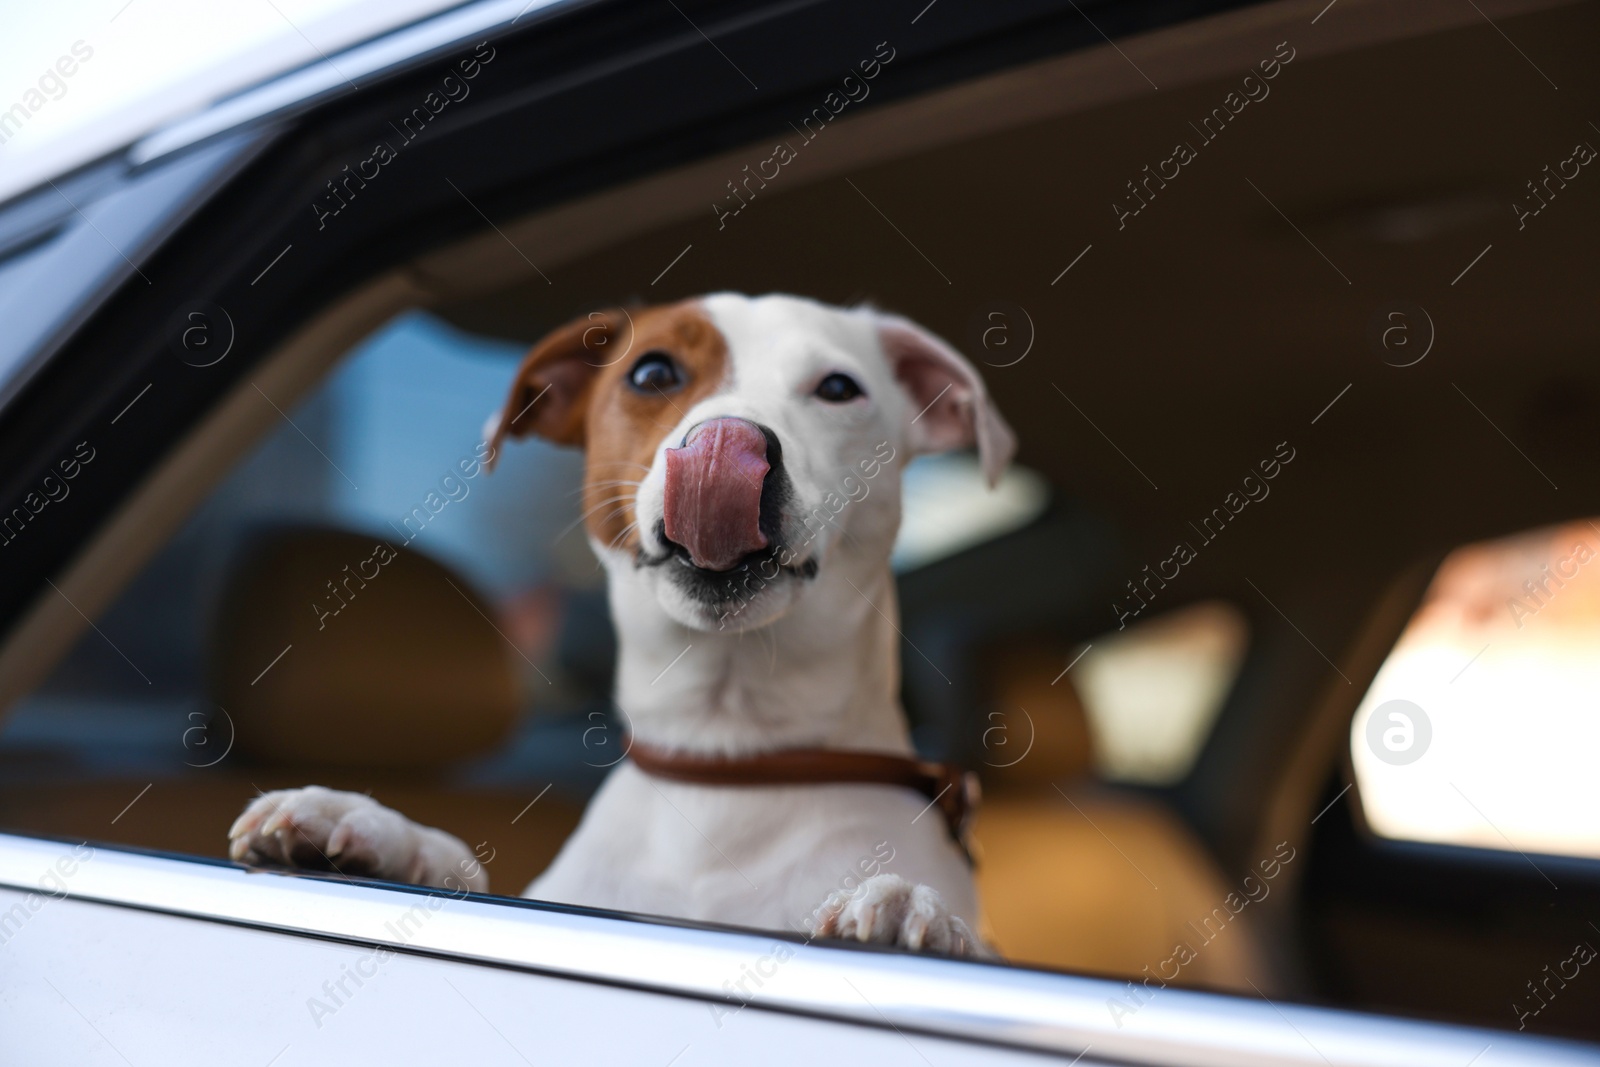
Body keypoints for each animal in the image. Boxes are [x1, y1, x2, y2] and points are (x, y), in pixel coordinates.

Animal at [225, 294, 1011, 959]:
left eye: (840, 388)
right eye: (653, 371)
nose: (726, 442)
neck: (727, 758)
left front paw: (916, 911)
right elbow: (464, 868)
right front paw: (373, 827)